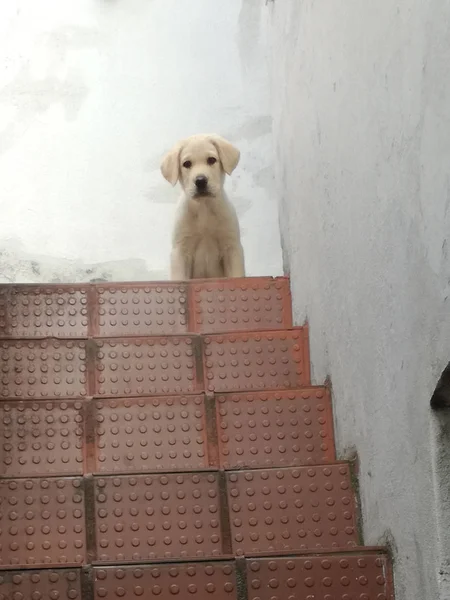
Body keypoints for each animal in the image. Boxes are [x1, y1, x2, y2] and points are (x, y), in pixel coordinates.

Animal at [162, 134, 246, 278]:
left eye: (211, 160)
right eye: (187, 164)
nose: (200, 181)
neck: (204, 208)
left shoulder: (232, 247)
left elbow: (237, 275)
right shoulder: (180, 251)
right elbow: (179, 277)